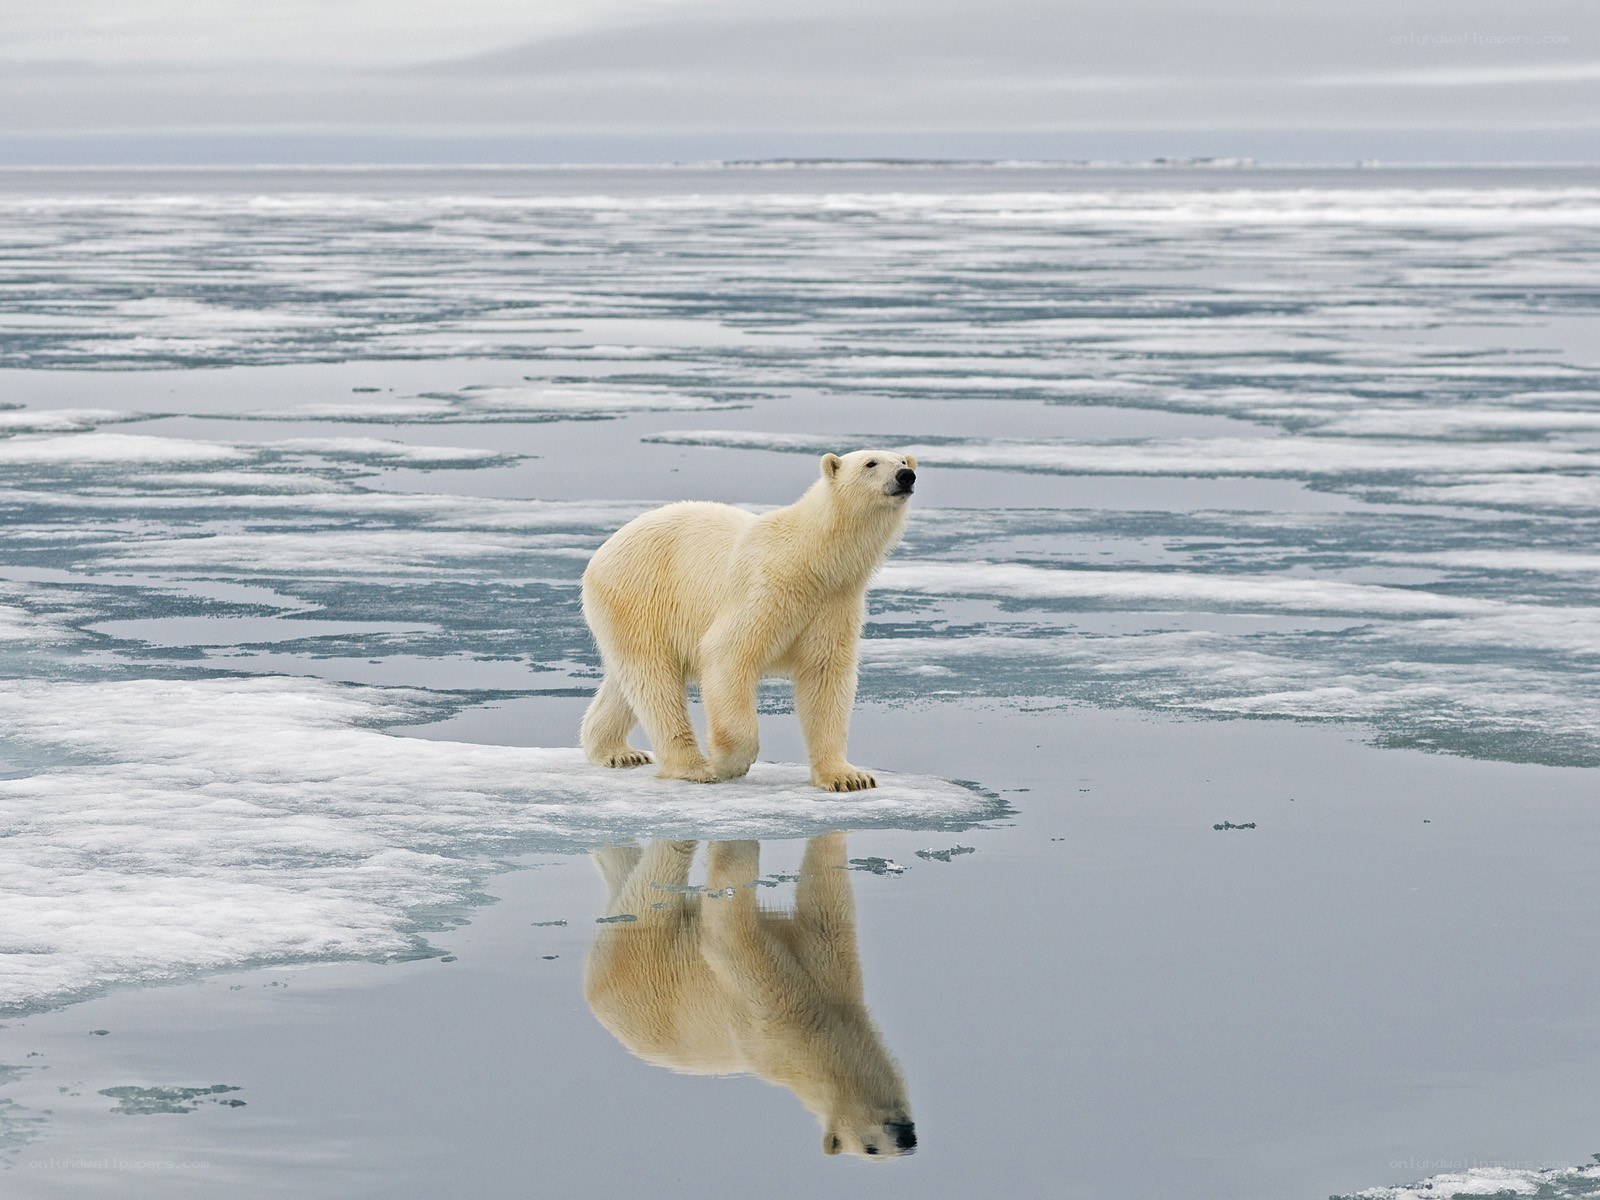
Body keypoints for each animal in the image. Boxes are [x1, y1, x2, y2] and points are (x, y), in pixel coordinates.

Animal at [579, 449, 917, 791]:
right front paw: (728, 764)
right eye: (870, 463)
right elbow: (727, 653)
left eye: (903, 460)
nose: (906, 476)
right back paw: (692, 766)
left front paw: (848, 777)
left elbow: (825, 676)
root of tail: (602, 552)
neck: (812, 559)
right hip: (640, 594)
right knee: (654, 680)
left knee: (626, 683)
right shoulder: (766, 588)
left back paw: (619, 752)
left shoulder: (835, 603)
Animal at [583, 835, 917, 1158]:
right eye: (870, 1148)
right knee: (659, 879)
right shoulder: (771, 1017)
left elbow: (822, 900)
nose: (905, 1138)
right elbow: (726, 934)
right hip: (641, 961)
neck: (818, 1036)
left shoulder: (828, 972)